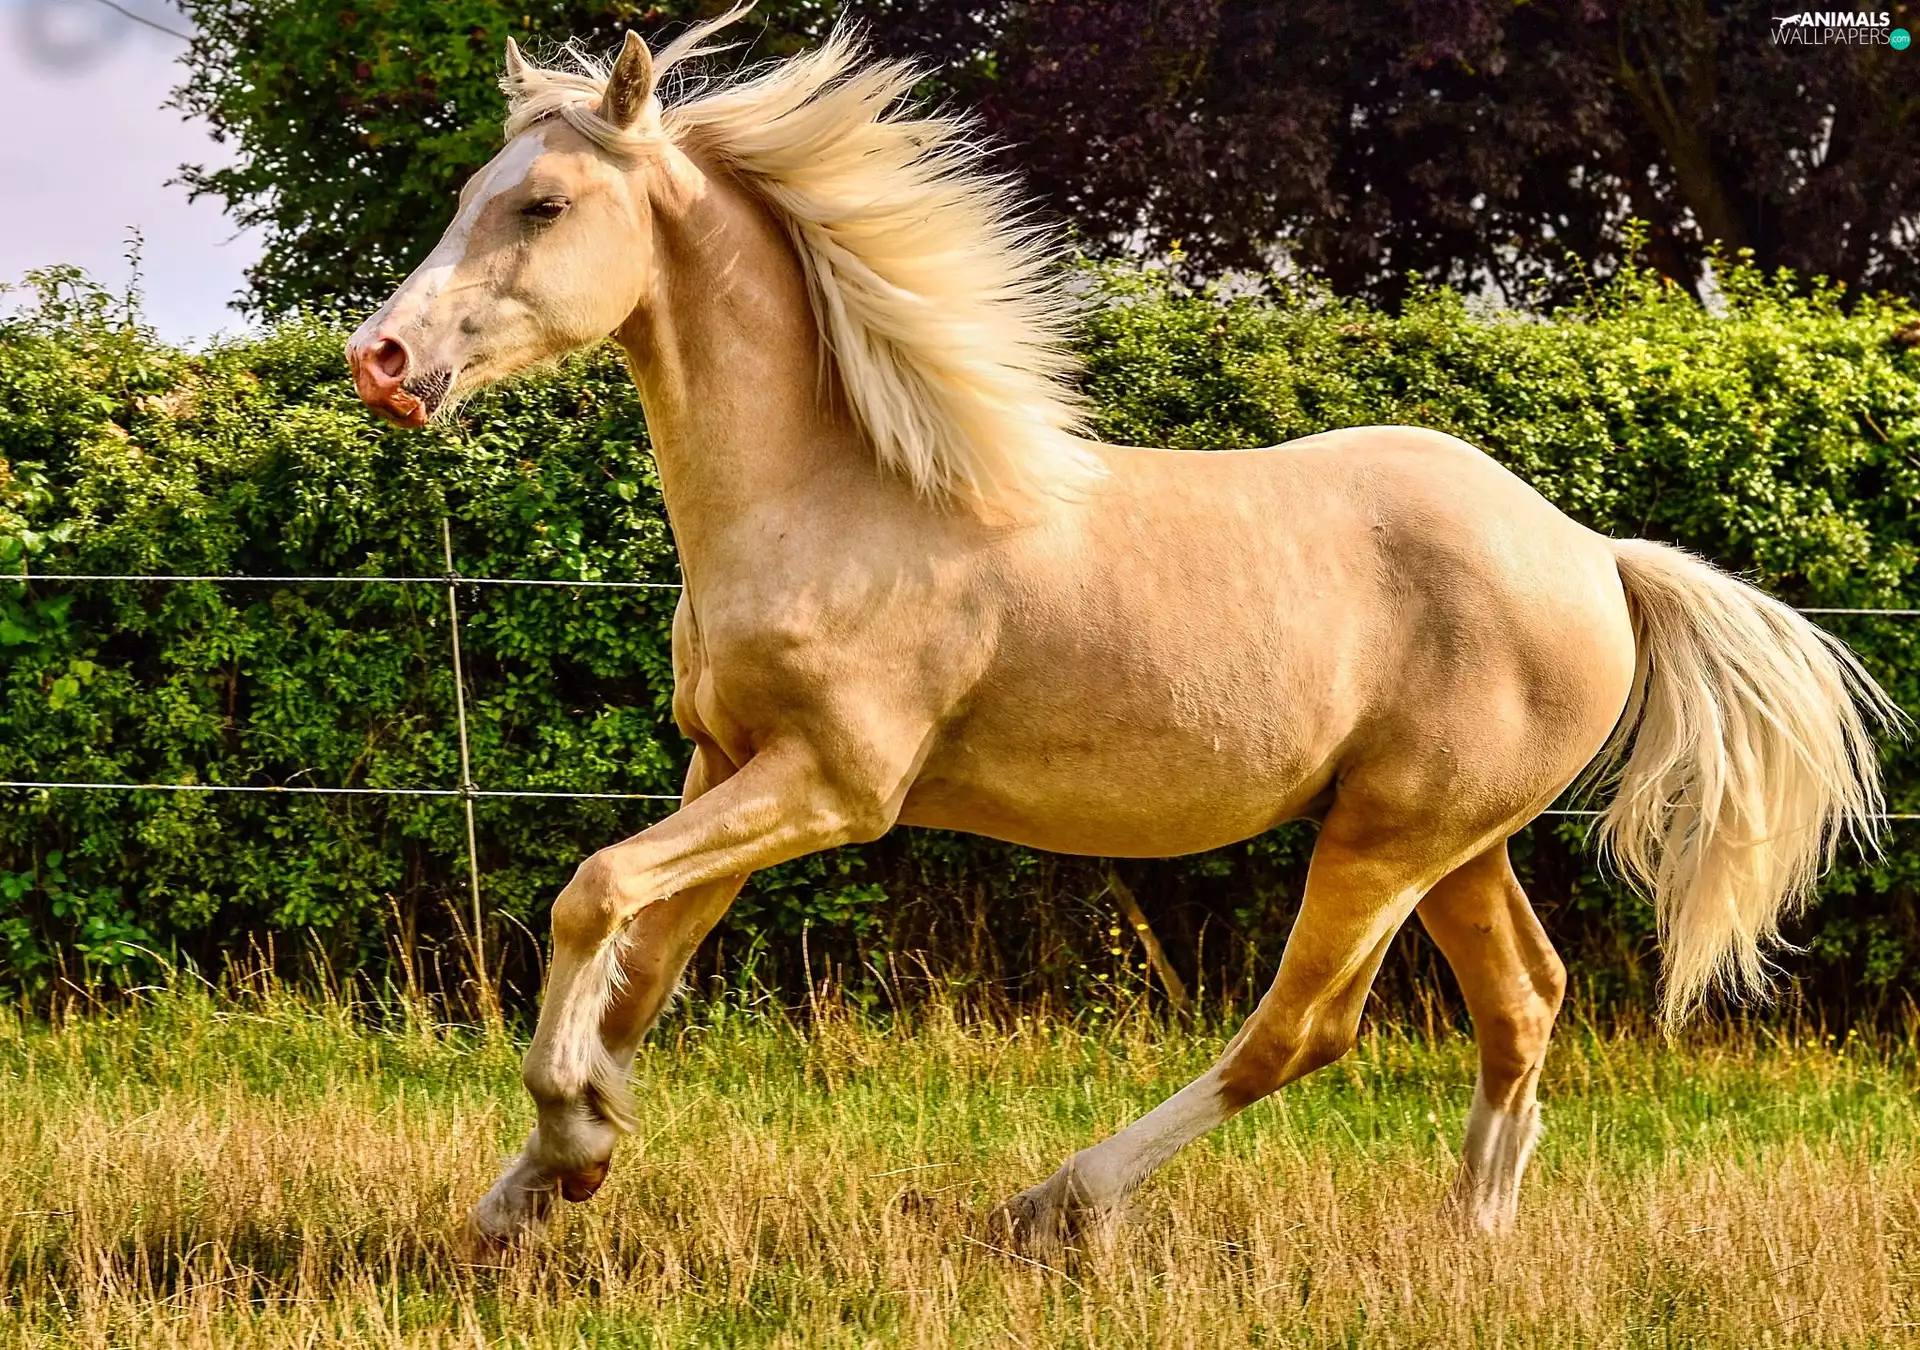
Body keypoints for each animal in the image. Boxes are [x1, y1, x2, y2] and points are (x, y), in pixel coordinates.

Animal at [346, 8, 1898, 1254]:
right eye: (477, 192)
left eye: (542, 206)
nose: (379, 359)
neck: (837, 490)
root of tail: (1594, 554)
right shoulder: (723, 762)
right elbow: (640, 963)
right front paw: (540, 1185)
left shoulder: (834, 785)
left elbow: (591, 893)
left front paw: (570, 1139)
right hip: (1462, 841)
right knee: (1524, 1000)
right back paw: (1473, 1236)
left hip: (1387, 839)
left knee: (1303, 1028)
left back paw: (1055, 1203)